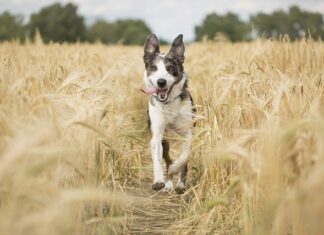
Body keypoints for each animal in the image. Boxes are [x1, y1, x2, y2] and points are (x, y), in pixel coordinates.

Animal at [142, 33, 195, 195]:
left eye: (170, 68)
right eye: (153, 68)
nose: (161, 82)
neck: (169, 103)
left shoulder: (187, 132)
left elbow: (184, 157)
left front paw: (176, 172)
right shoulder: (157, 134)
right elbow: (157, 159)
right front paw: (159, 181)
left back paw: (179, 184)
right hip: (166, 141)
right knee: (166, 158)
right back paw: (169, 184)